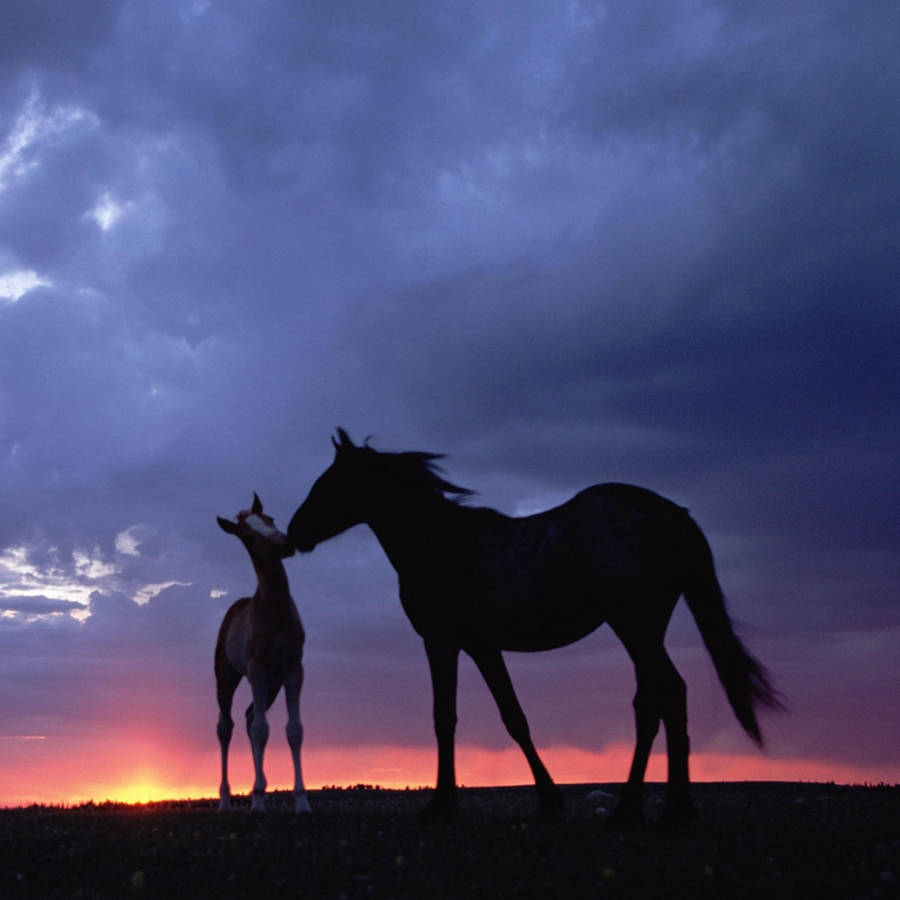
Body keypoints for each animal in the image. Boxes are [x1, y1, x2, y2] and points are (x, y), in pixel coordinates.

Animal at [215, 493, 312, 814]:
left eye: (270, 519)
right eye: (247, 535)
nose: (285, 543)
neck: (276, 611)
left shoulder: (294, 669)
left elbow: (293, 729)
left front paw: (302, 801)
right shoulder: (256, 668)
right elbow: (260, 729)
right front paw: (257, 802)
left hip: (272, 683)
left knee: (248, 716)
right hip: (227, 676)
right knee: (227, 726)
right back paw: (226, 800)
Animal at [288, 430, 781, 827]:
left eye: (330, 482)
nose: (294, 532)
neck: (440, 543)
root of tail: (675, 514)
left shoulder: (441, 642)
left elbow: (444, 717)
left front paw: (441, 806)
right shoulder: (482, 647)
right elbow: (514, 718)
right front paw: (548, 800)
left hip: (634, 625)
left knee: (670, 693)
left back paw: (666, 811)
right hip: (644, 629)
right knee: (651, 703)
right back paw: (637, 809)